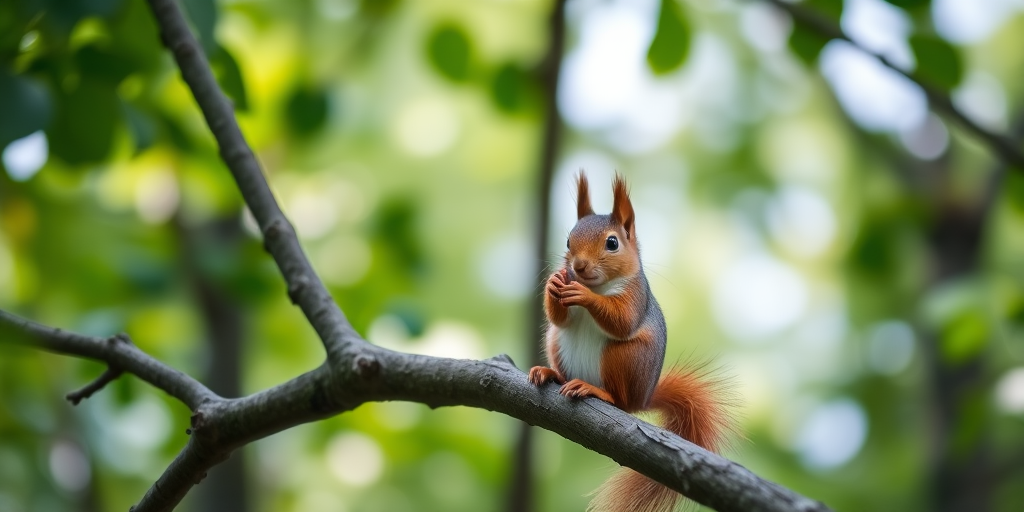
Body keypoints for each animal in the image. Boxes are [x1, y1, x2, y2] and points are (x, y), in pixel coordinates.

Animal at [528, 172, 733, 512]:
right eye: (568, 241)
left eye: (612, 243)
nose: (578, 266)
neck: (599, 285)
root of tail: (644, 398)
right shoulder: (564, 319)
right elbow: (561, 318)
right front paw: (553, 283)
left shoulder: (635, 298)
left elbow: (621, 320)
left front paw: (584, 294)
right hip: (555, 343)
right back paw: (551, 374)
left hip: (623, 358)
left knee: (620, 401)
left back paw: (596, 390)